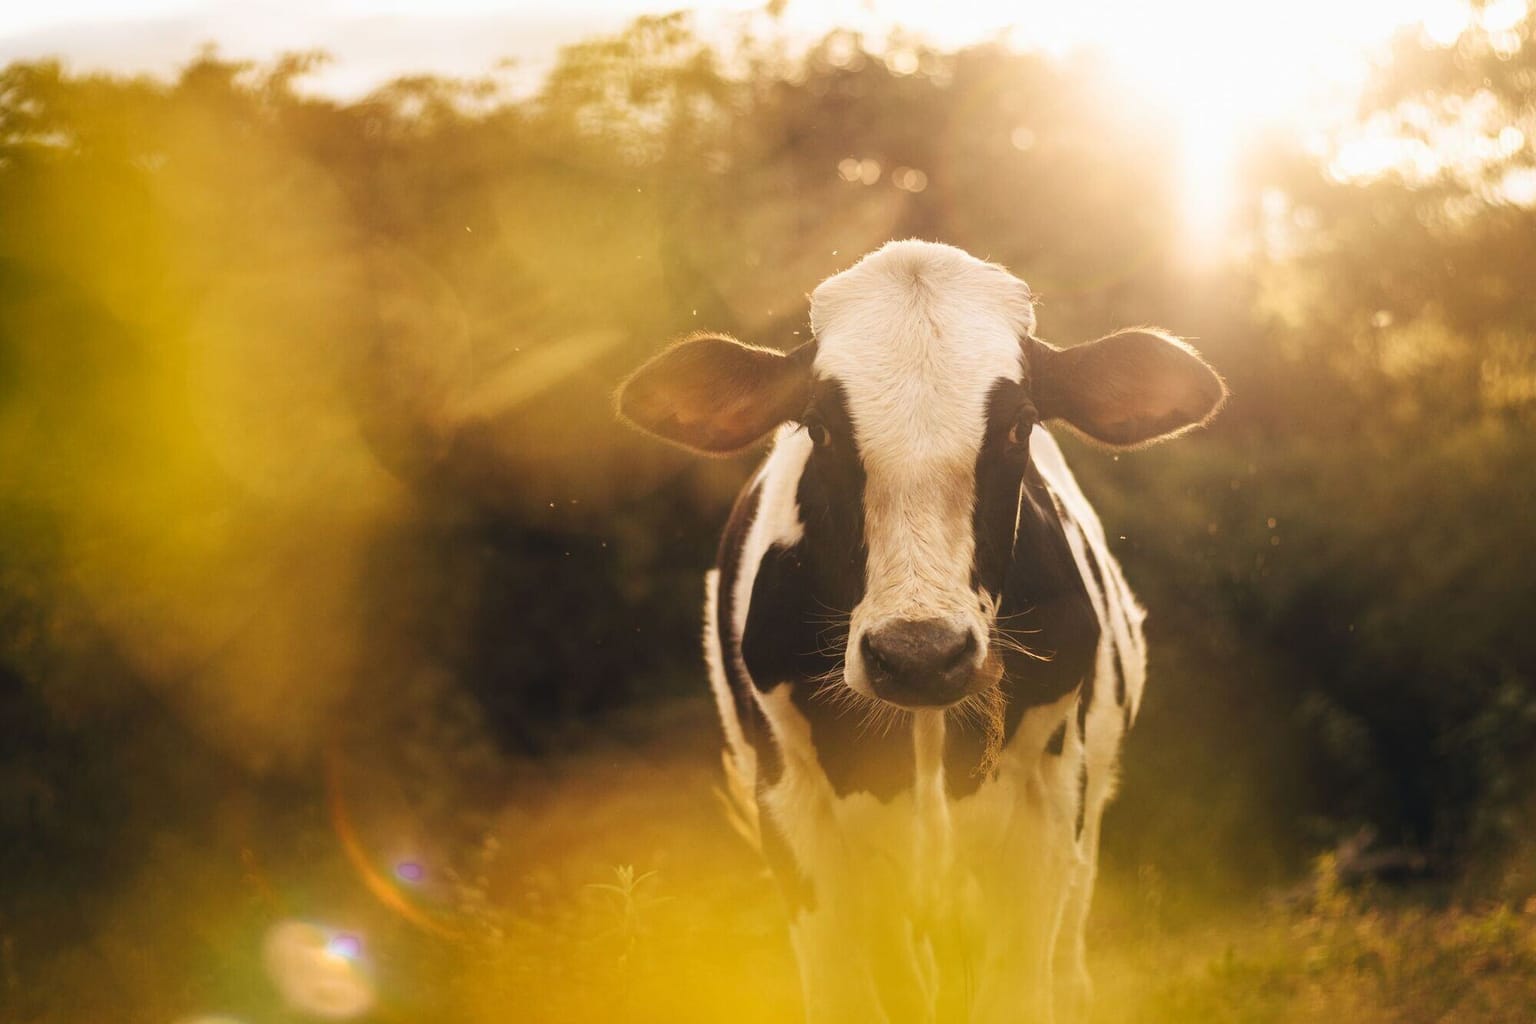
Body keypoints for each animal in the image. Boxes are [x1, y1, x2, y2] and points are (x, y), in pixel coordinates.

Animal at [617, 240, 1225, 1024]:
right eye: (819, 426)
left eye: (1020, 425)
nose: (919, 655)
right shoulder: (792, 808)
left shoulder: (1049, 801)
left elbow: (1018, 991)